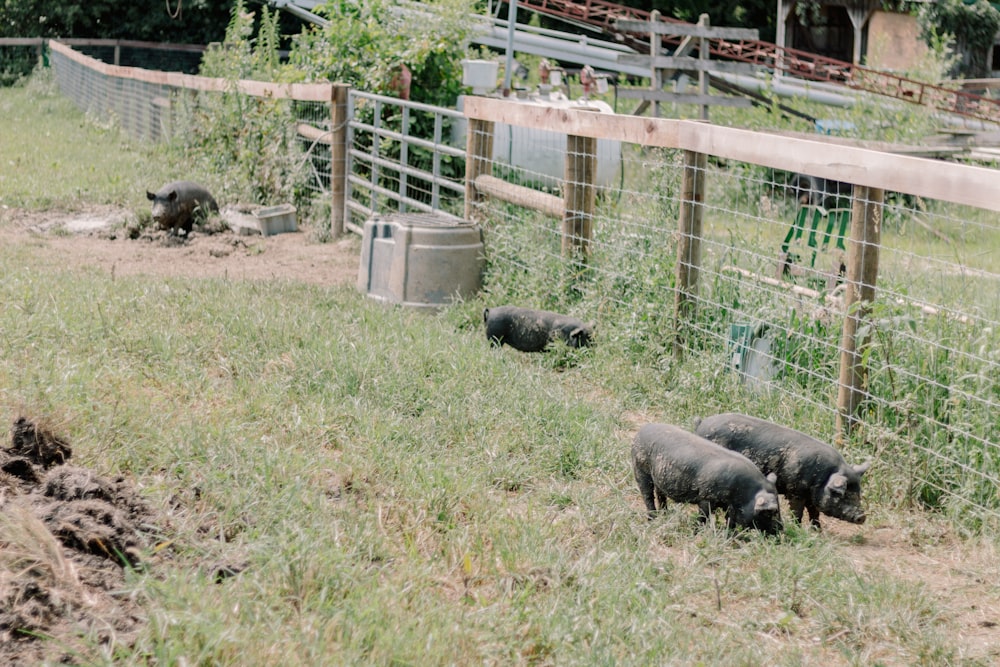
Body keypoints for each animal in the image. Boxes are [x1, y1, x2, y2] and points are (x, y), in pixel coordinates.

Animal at [632, 426, 780, 536]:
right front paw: (696, 533)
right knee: (647, 495)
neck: (744, 492)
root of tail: (640, 431)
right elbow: (704, 517)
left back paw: (666, 514)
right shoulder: (706, 497)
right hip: (640, 469)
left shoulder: (731, 505)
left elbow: (730, 521)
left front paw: (729, 536)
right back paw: (652, 519)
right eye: (770, 512)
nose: (781, 530)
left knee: (660, 495)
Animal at [696, 410, 868, 528]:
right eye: (842, 494)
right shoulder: (796, 491)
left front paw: (817, 530)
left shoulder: (811, 494)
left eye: (858, 493)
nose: (862, 516)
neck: (823, 476)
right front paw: (798, 527)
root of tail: (701, 423)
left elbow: (814, 512)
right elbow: (798, 511)